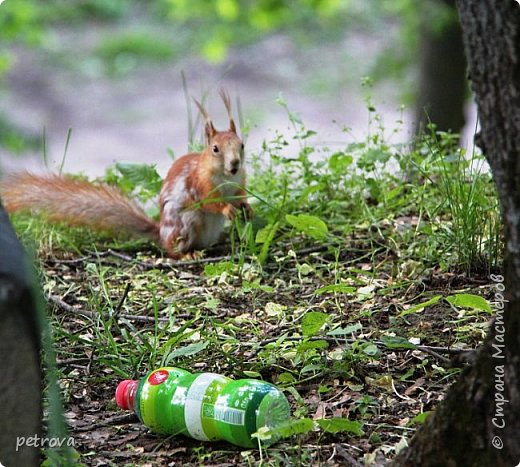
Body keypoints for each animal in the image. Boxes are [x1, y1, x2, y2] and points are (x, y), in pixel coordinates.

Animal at [0, 90, 252, 260]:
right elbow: (209, 201)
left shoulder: (239, 182)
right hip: (184, 225)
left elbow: (240, 195)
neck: (225, 176)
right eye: (215, 149)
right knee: (172, 249)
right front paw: (227, 208)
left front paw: (246, 208)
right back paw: (187, 255)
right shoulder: (199, 183)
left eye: (241, 145)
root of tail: (159, 232)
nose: (235, 164)